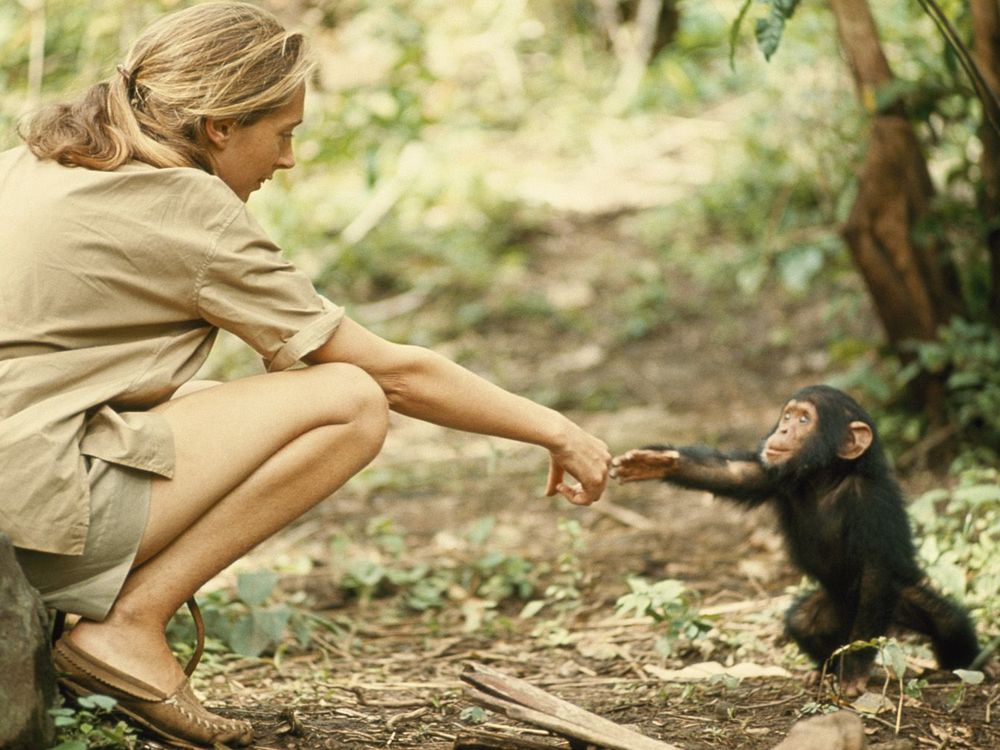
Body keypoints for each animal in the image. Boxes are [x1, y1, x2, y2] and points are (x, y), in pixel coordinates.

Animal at [612, 388, 988, 700]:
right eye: (787, 416)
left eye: (804, 420)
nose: (781, 431)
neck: (826, 478)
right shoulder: (772, 474)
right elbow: (731, 474)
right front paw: (656, 462)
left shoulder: (872, 507)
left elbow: (876, 572)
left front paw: (855, 670)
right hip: (832, 610)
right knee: (802, 623)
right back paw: (822, 670)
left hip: (893, 604)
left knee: (947, 623)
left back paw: (971, 664)